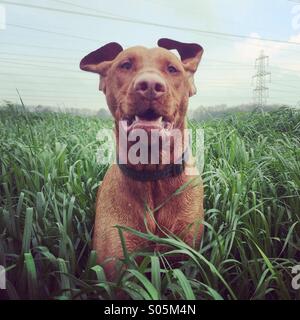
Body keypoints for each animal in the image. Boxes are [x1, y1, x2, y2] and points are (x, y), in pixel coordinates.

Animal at [79, 38, 205, 280]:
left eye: (172, 69)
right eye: (125, 65)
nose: (150, 86)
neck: (152, 176)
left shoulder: (186, 259)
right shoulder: (115, 267)